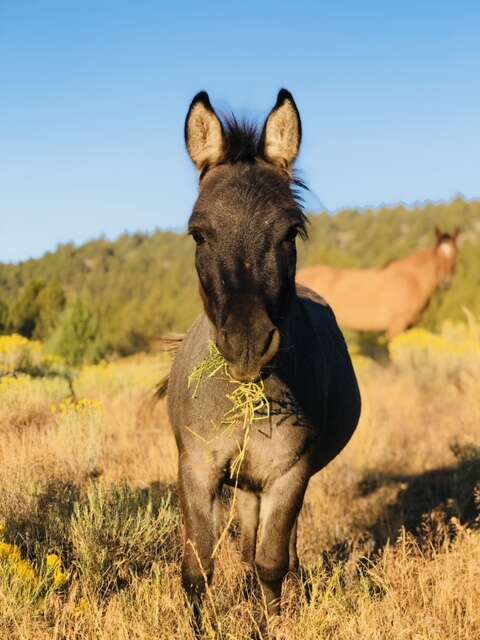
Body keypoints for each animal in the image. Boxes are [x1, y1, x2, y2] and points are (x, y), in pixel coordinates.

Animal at [165, 87, 360, 624]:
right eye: (198, 233)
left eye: (291, 232)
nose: (248, 344)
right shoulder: (197, 468)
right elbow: (198, 568)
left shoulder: (289, 473)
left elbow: (271, 562)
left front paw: (273, 624)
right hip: (246, 485)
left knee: (278, 550)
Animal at [296, 230, 462, 340]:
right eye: (437, 255)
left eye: (456, 255)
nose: (446, 282)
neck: (412, 280)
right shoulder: (397, 324)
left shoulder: (410, 326)